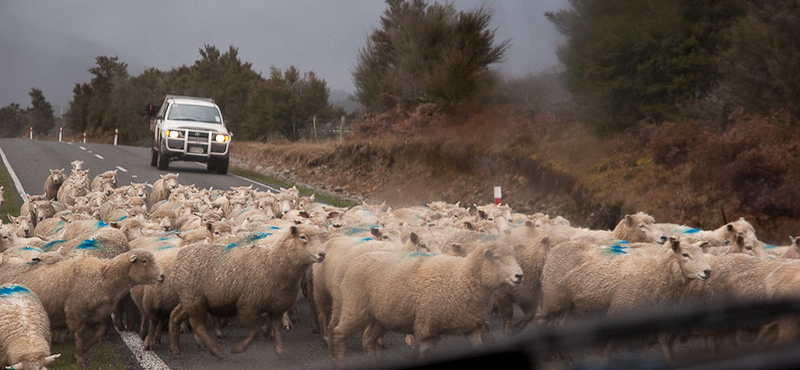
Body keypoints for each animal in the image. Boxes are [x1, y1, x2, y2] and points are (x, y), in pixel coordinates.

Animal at [0, 249, 164, 364]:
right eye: (144, 261)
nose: (162, 276)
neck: (103, 277)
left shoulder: (96, 314)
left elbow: (100, 331)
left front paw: (83, 350)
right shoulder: (75, 312)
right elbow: (79, 335)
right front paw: (79, 356)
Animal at [167, 223, 330, 358]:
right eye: (302, 237)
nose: (322, 254)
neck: (271, 261)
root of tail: (181, 254)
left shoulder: (276, 306)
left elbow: (276, 330)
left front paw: (280, 351)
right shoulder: (248, 305)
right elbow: (255, 331)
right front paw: (239, 348)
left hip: (191, 298)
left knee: (175, 315)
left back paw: (176, 350)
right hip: (194, 298)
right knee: (196, 323)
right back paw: (215, 350)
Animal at [326, 241, 520, 366]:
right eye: (496, 257)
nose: (520, 275)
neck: (462, 277)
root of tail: (358, 259)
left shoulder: (472, 329)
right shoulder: (427, 327)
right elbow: (425, 353)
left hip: (381, 317)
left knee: (367, 339)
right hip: (355, 307)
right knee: (337, 333)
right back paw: (337, 361)